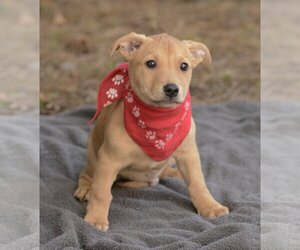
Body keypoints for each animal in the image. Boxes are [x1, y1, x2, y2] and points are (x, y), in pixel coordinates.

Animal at [74, 32, 229, 230]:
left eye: (184, 66)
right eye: (151, 64)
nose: (172, 89)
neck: (158, 120)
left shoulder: (189, 155)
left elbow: (198, 182)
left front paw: (210, 206)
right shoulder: (108, 160)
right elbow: (101, 192)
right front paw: (95, 219)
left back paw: (175, 174)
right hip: (94, 155)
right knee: (87, 174)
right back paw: (86, 188)